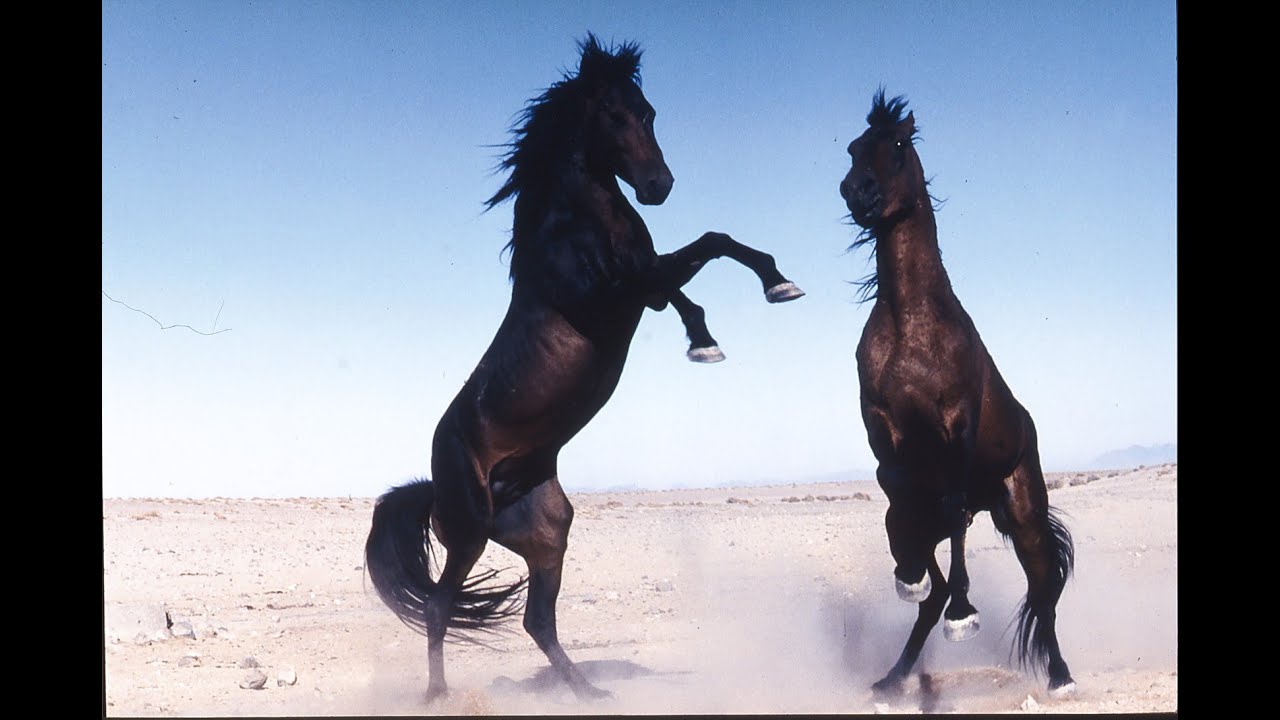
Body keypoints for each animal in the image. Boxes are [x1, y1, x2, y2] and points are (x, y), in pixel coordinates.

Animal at [364, 34, 804, 703]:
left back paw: (588, 691)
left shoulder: (645, 279)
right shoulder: (615, 297)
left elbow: (710, 248)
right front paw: (716, 333)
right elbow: (691, 270)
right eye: (612, 115)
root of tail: (433, 487)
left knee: (536, 620)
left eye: (649, 111)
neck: (577, 224)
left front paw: (770, 290)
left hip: (547, 533)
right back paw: (440, 696)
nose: (658, 185)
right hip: (469, 532)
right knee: (441, 607)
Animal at [838, 90, 1076, 698]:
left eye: (898, 143)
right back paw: (892, 678)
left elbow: (950, 512)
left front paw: (964, 614)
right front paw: (909, 575)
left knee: (1044, 590)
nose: (856, 192)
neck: (911, 324)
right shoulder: (881, 427)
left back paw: (1061, 677)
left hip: (1024, 514)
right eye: (853, 148)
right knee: (937, 578)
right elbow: (899, 494)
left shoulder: (957, 427)